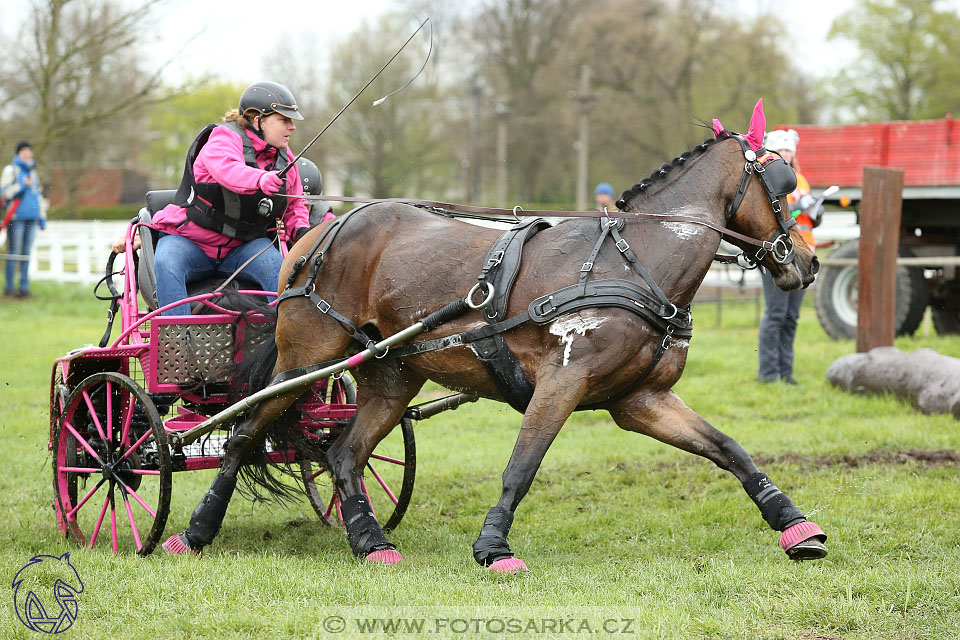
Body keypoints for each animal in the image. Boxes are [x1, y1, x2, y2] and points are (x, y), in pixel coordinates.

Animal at [165, 100, 824, 568]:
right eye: (783, 182)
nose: (807, 263)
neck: (634, 264)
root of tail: (316, 233)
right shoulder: (562, 382)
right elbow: (523, 465)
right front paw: (494, 548)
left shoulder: (641, 400)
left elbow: (728, 449)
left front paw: (795, 525)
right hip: (304, 360)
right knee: (245, 432)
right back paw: (194, 531)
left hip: (390, 373)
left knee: (343, 453)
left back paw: (370, 541)